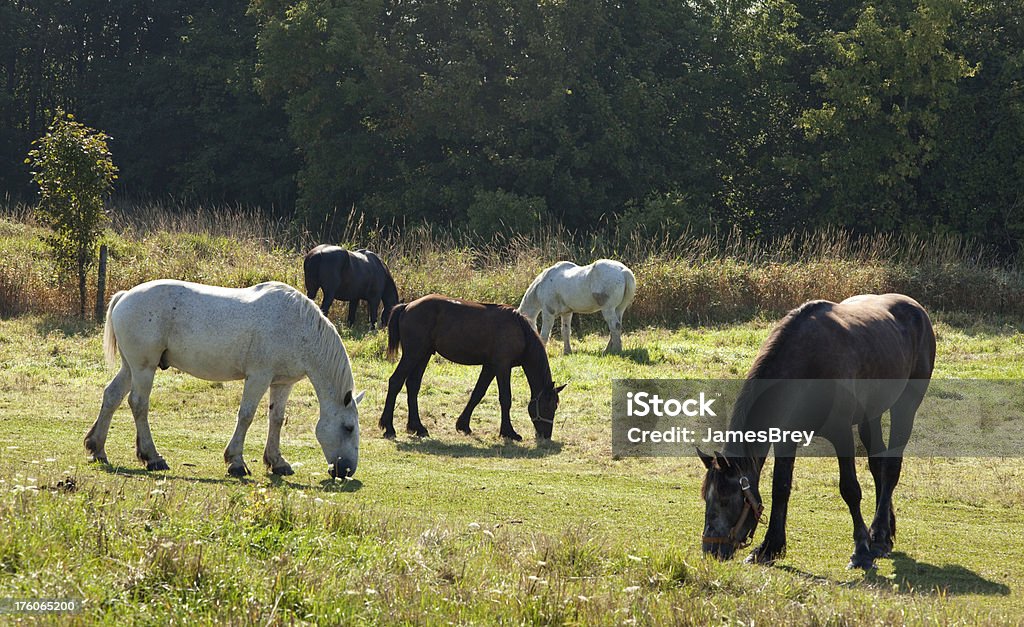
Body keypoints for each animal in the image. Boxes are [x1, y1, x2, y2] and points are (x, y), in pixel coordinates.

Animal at [84, 280, 364, 479]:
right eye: (348, 427)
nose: (347, 471)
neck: (297, 327)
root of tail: (124, 296)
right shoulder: (258, 377)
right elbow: (247, 416)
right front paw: (236, 462)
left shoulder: (281, 383)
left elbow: (276, 419)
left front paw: (277, 462)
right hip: (144, 368)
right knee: (138, 404)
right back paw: (152, 457)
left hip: (130, 368)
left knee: (111, 396)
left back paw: (97, 448)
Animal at [700, 293, 933, 569]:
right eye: (706, 498)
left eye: (726, 499)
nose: (711, 551)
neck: (806, 363)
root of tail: (916, 308)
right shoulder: (786, 435)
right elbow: (781, 488)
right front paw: (770, 547)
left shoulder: (841, 433)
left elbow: (850, 489)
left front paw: (861, 550)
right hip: (871, 415)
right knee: (879, 467)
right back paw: (883, 533)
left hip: (905, 406)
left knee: (891, 468)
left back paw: (878, 537)